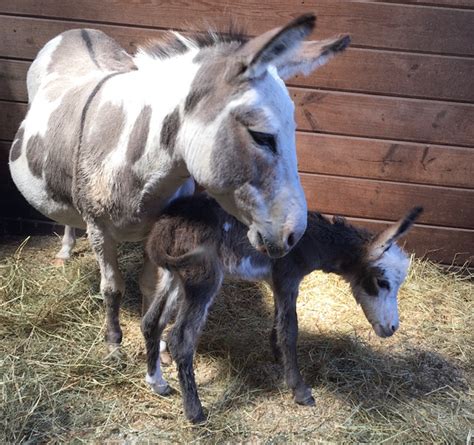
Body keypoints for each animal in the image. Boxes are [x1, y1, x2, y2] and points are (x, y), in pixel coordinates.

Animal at [143, 193, 420, 420]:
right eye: (382, 282)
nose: (392, 327)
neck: (309, 240)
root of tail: (164, 226)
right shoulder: (288, 278)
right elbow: (290, 331)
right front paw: (300, 390)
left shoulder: (276, 281)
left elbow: (278, 323)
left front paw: (277, 355)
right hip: (202, 278)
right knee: (182, 340)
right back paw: (194, 411)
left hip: (174, 275)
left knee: (151, 322)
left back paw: (157, 383)